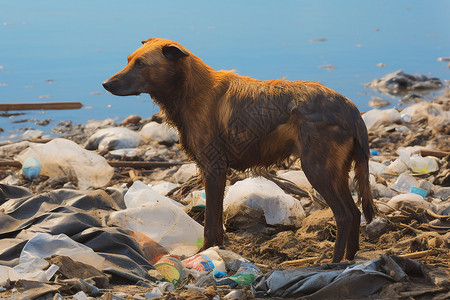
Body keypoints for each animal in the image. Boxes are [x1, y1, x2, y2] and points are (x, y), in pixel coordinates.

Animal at [103, 37, 374, 262]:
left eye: (141, 64)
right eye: (129, 60)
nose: (105, 84)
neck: (190, 90)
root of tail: (350, 109)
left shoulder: (214, 168)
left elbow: (210, 223)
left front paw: (206, 251)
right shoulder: (214, 171)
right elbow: (216, 221)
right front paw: (216, 250)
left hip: (317, 169)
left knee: (344, 215)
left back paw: (333, 262)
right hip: (336, 171)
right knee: (355, 212)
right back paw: (350, 257)